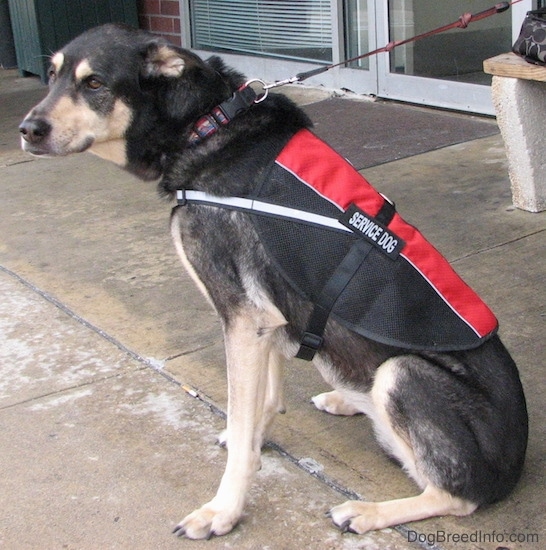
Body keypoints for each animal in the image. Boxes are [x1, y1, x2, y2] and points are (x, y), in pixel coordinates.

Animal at [19, 23, 524, 540]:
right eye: (52, 75)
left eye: (95, 83)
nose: (27, 130)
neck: (207, 126)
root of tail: (517, 460)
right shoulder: (268, 318)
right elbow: (265, 400)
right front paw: (258, 437)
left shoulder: (244, 317)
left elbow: (243, 424)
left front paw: (223, 510)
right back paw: (346, 401)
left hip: (402, 373)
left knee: (457, 495)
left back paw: (368, 510)